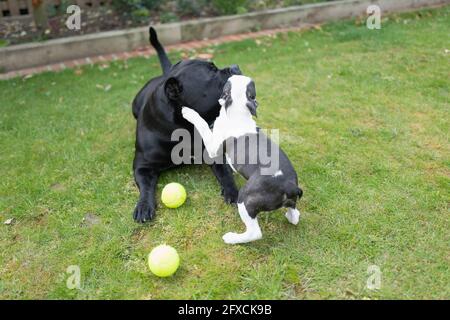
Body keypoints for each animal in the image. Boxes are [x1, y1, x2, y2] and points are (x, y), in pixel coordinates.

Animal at [131, 28, 243, 222]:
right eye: (213, 72)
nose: (235, 66)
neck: (186, 127)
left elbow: (225, 173)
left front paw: (232, 191)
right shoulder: (142, 166)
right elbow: (145, 186)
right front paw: (144, 205)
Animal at [182, 75, 302, 245]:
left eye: (226, 85)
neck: (238, 109)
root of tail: (289, 186)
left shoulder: (213, 147)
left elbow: (203, 125)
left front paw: (188, 112)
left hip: (246, 199)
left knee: (255, 233)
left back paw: (232, 238)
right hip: (289, 201)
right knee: (295, 215)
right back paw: (290, 216)